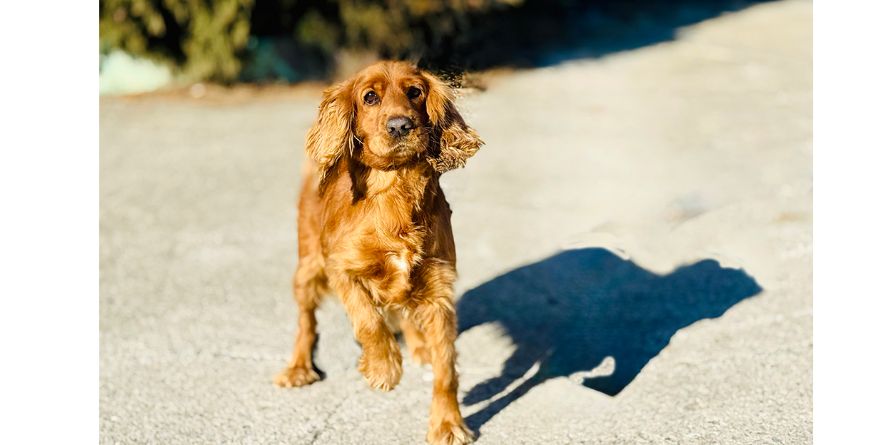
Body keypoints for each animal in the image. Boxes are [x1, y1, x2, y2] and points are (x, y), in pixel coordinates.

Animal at [274, 61, 483, 444]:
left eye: (415, 92)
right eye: (369, 97)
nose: (400, 125)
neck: (394, 190)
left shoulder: (439, 287)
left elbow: (446, 367)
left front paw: (448, 423)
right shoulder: (341, 268)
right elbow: (369, 320)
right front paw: (384, 368)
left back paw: (419, 347)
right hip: (307, 265)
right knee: (306, 321)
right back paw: (298, 368)